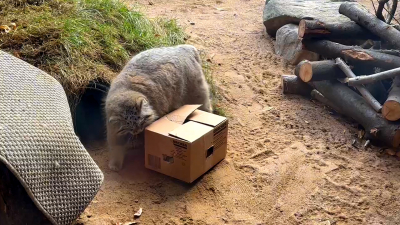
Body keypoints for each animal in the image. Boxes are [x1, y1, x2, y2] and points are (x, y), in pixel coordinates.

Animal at [105, 43, 212, 171]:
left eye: (141, 123)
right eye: (129, 127)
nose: (137, 131)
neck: (127, 90)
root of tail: (184, 47)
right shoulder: (114, 130)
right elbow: (116, 147)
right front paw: (115, 164)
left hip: (197, 95)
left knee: (207, 108)